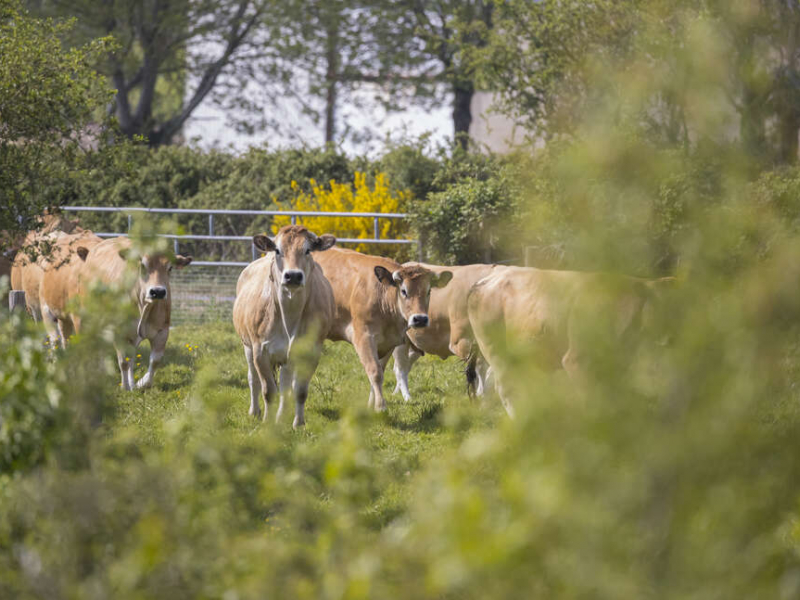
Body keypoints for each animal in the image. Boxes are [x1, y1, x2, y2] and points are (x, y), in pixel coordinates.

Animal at [76, 237, 192, 392]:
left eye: (170, 268)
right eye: (143, 265)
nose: (158, 292)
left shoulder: (162, 331)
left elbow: (154, 361)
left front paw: (140, 383)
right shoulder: (119, 332)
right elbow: (123, 362)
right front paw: (125, 387)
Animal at [233, 225, 336, 426]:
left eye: (308, 250)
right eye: (277, 250)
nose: (293, 276)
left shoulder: (310, 352)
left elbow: (299, 391)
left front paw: (298, 424)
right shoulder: (260, 351)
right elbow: (268, 391)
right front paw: (267, 421)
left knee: (286, 385)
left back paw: (281, 417)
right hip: (247, 345)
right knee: (253, 379)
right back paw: (255, 411)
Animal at [310, 246, 450, 410]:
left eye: (429, 291)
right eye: (403, 291)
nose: (420, 319)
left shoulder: (389, 342)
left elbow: (380, 371)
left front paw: (372, 405)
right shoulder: (364, 337)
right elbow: (375, 372)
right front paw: (381, 407)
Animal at [390, 264, 504, 400]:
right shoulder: (462, 342)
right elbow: (481, 369)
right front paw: (481, 394)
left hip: (416, 345)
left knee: (405, 365)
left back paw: (396, 392)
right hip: (401, 342)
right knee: (400, 368)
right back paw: (407, 397)